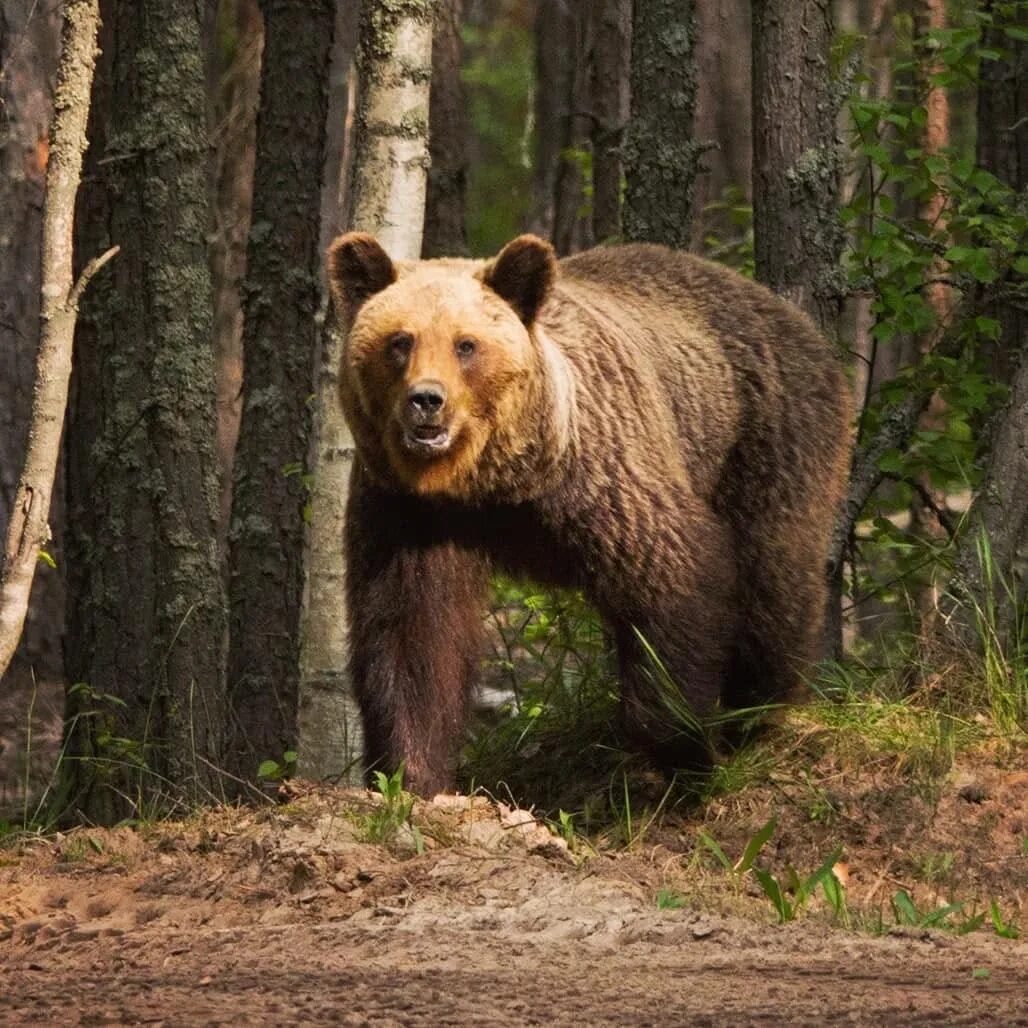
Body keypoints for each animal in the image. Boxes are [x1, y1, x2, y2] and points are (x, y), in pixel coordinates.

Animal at [326, 233, 851, 793]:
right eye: (399, 341)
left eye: (466, 344)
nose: (427, 400)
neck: (492, 483)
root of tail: (789, 314)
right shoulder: (408, 511)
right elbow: (411, 632)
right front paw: (411, 772)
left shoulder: (602, 476)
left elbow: (673, 578)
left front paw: (683, 747)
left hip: (768, 436)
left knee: (773, 577)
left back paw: (756, 710)